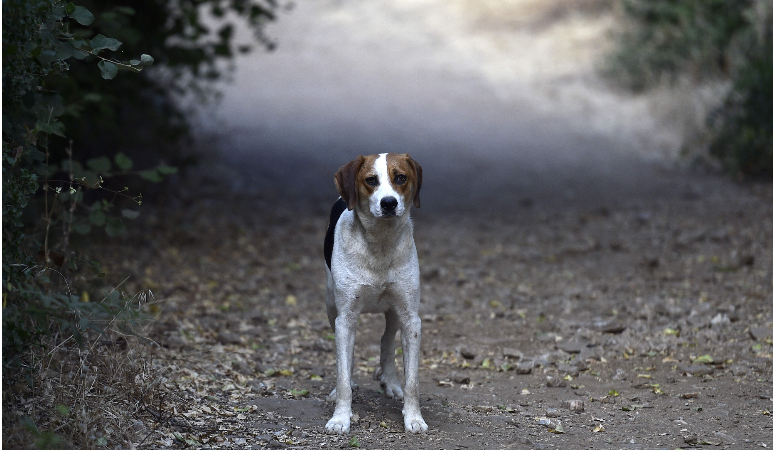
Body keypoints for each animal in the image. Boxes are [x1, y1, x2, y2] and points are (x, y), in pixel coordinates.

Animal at [322, 153, 428, 434]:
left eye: (400, 177)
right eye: (371, 180)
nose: (389, 203)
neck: (380, 242)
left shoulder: (411, 318)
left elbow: (413, 381)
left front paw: (414, 418)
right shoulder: (345, 318)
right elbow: (343, 372)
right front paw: (340, 418)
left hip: (393, 312)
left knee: (386, 341)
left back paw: (390, 381)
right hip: (331, 305)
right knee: (346, 359)